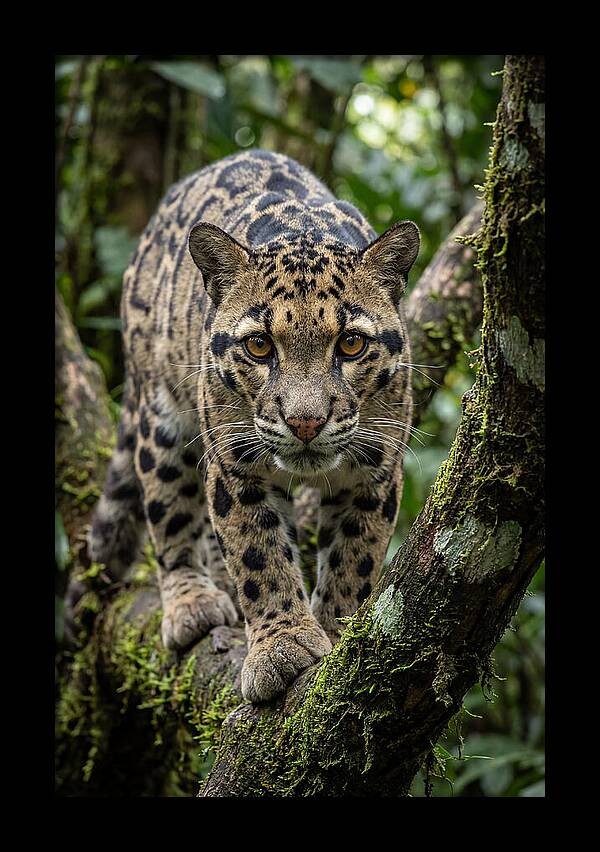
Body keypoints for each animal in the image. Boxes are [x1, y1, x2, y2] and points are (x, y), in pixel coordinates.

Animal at [89, 149, 419, 703]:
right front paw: (281, 648)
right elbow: (258, 555)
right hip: (159, 416)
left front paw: (337, 632)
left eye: (351, 344)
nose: (305, 421)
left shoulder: (375, 469)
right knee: (169, 511)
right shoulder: (235, 464)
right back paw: (193, 602)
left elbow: (355, 557)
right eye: (259, 346)